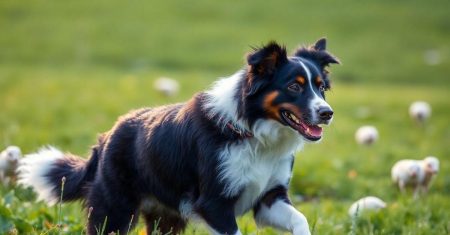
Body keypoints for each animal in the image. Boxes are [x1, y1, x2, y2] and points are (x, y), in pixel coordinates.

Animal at [19, 39, 340, 235]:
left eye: (321, 87)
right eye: (294, 87)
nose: (327, 113)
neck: (255, 133)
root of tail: (106, 136)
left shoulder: (269, 197)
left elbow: (299, 218)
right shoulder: (213, 203)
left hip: (166, 217)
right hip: (115, 209)